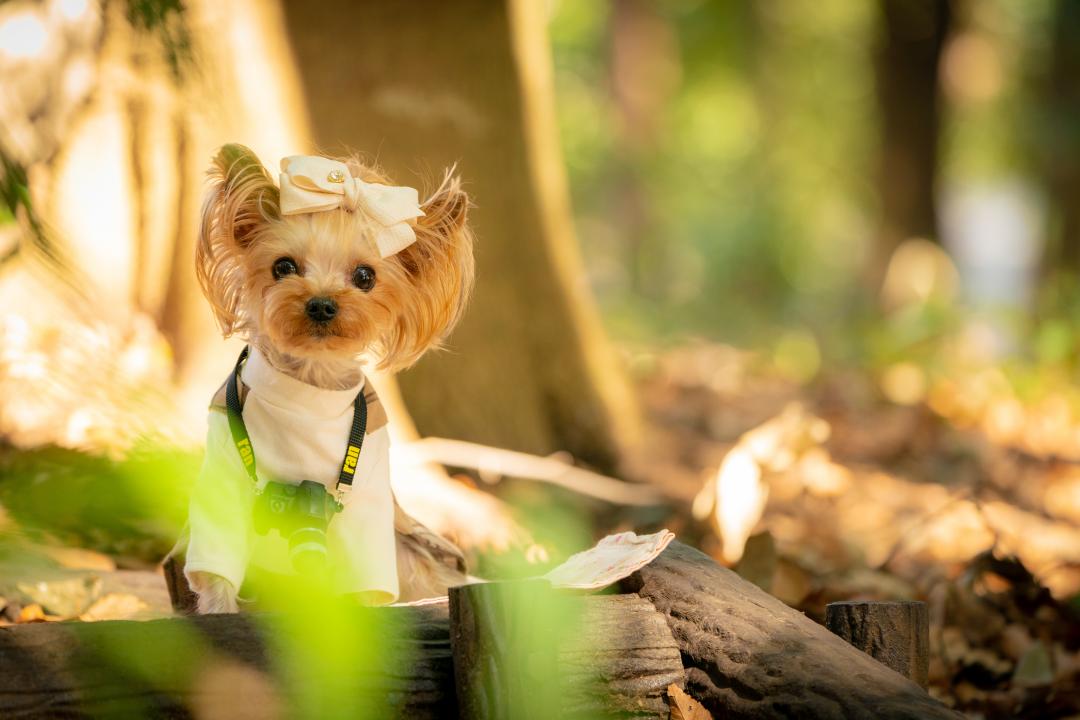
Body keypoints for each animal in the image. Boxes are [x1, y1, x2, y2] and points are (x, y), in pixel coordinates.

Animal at [183, 144, 475, 613]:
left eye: (365, 276)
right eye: (283, 267)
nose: (321, 304)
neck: (308, 388)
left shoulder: (369, 488)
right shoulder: (224, 471)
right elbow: (217, 572)